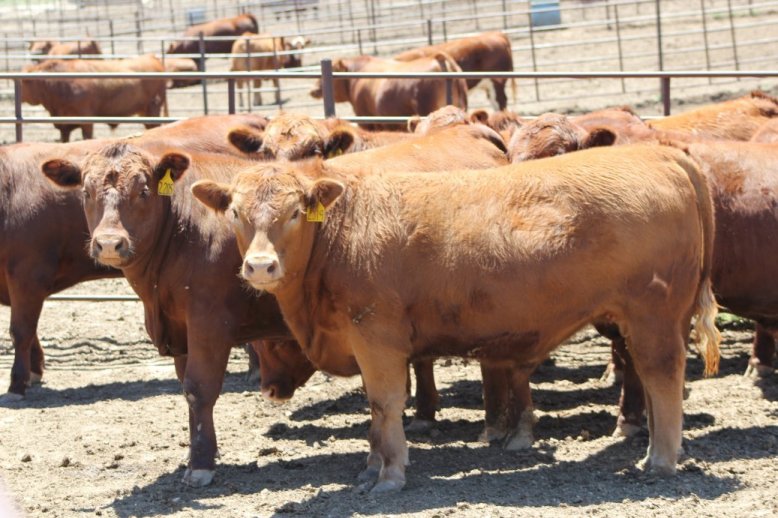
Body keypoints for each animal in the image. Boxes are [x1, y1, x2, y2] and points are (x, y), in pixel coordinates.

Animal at [38, 141, 292, 488]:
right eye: (86, 192)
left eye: (144, 190)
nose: (108, 244)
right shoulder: (180, 327)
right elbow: (187, 390)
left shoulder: (208, 322)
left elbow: (200, 387)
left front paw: (200, 465)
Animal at [192, 144, 716, 494]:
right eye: (235, 212)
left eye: (297, 213)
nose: (261, 266)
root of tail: (659, 153)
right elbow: (374, 411)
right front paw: (371, 465)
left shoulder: (376, 335)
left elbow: (385, 403)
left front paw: (389, 474)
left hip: (652, 313)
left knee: (662, 373)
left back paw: (660, 459)